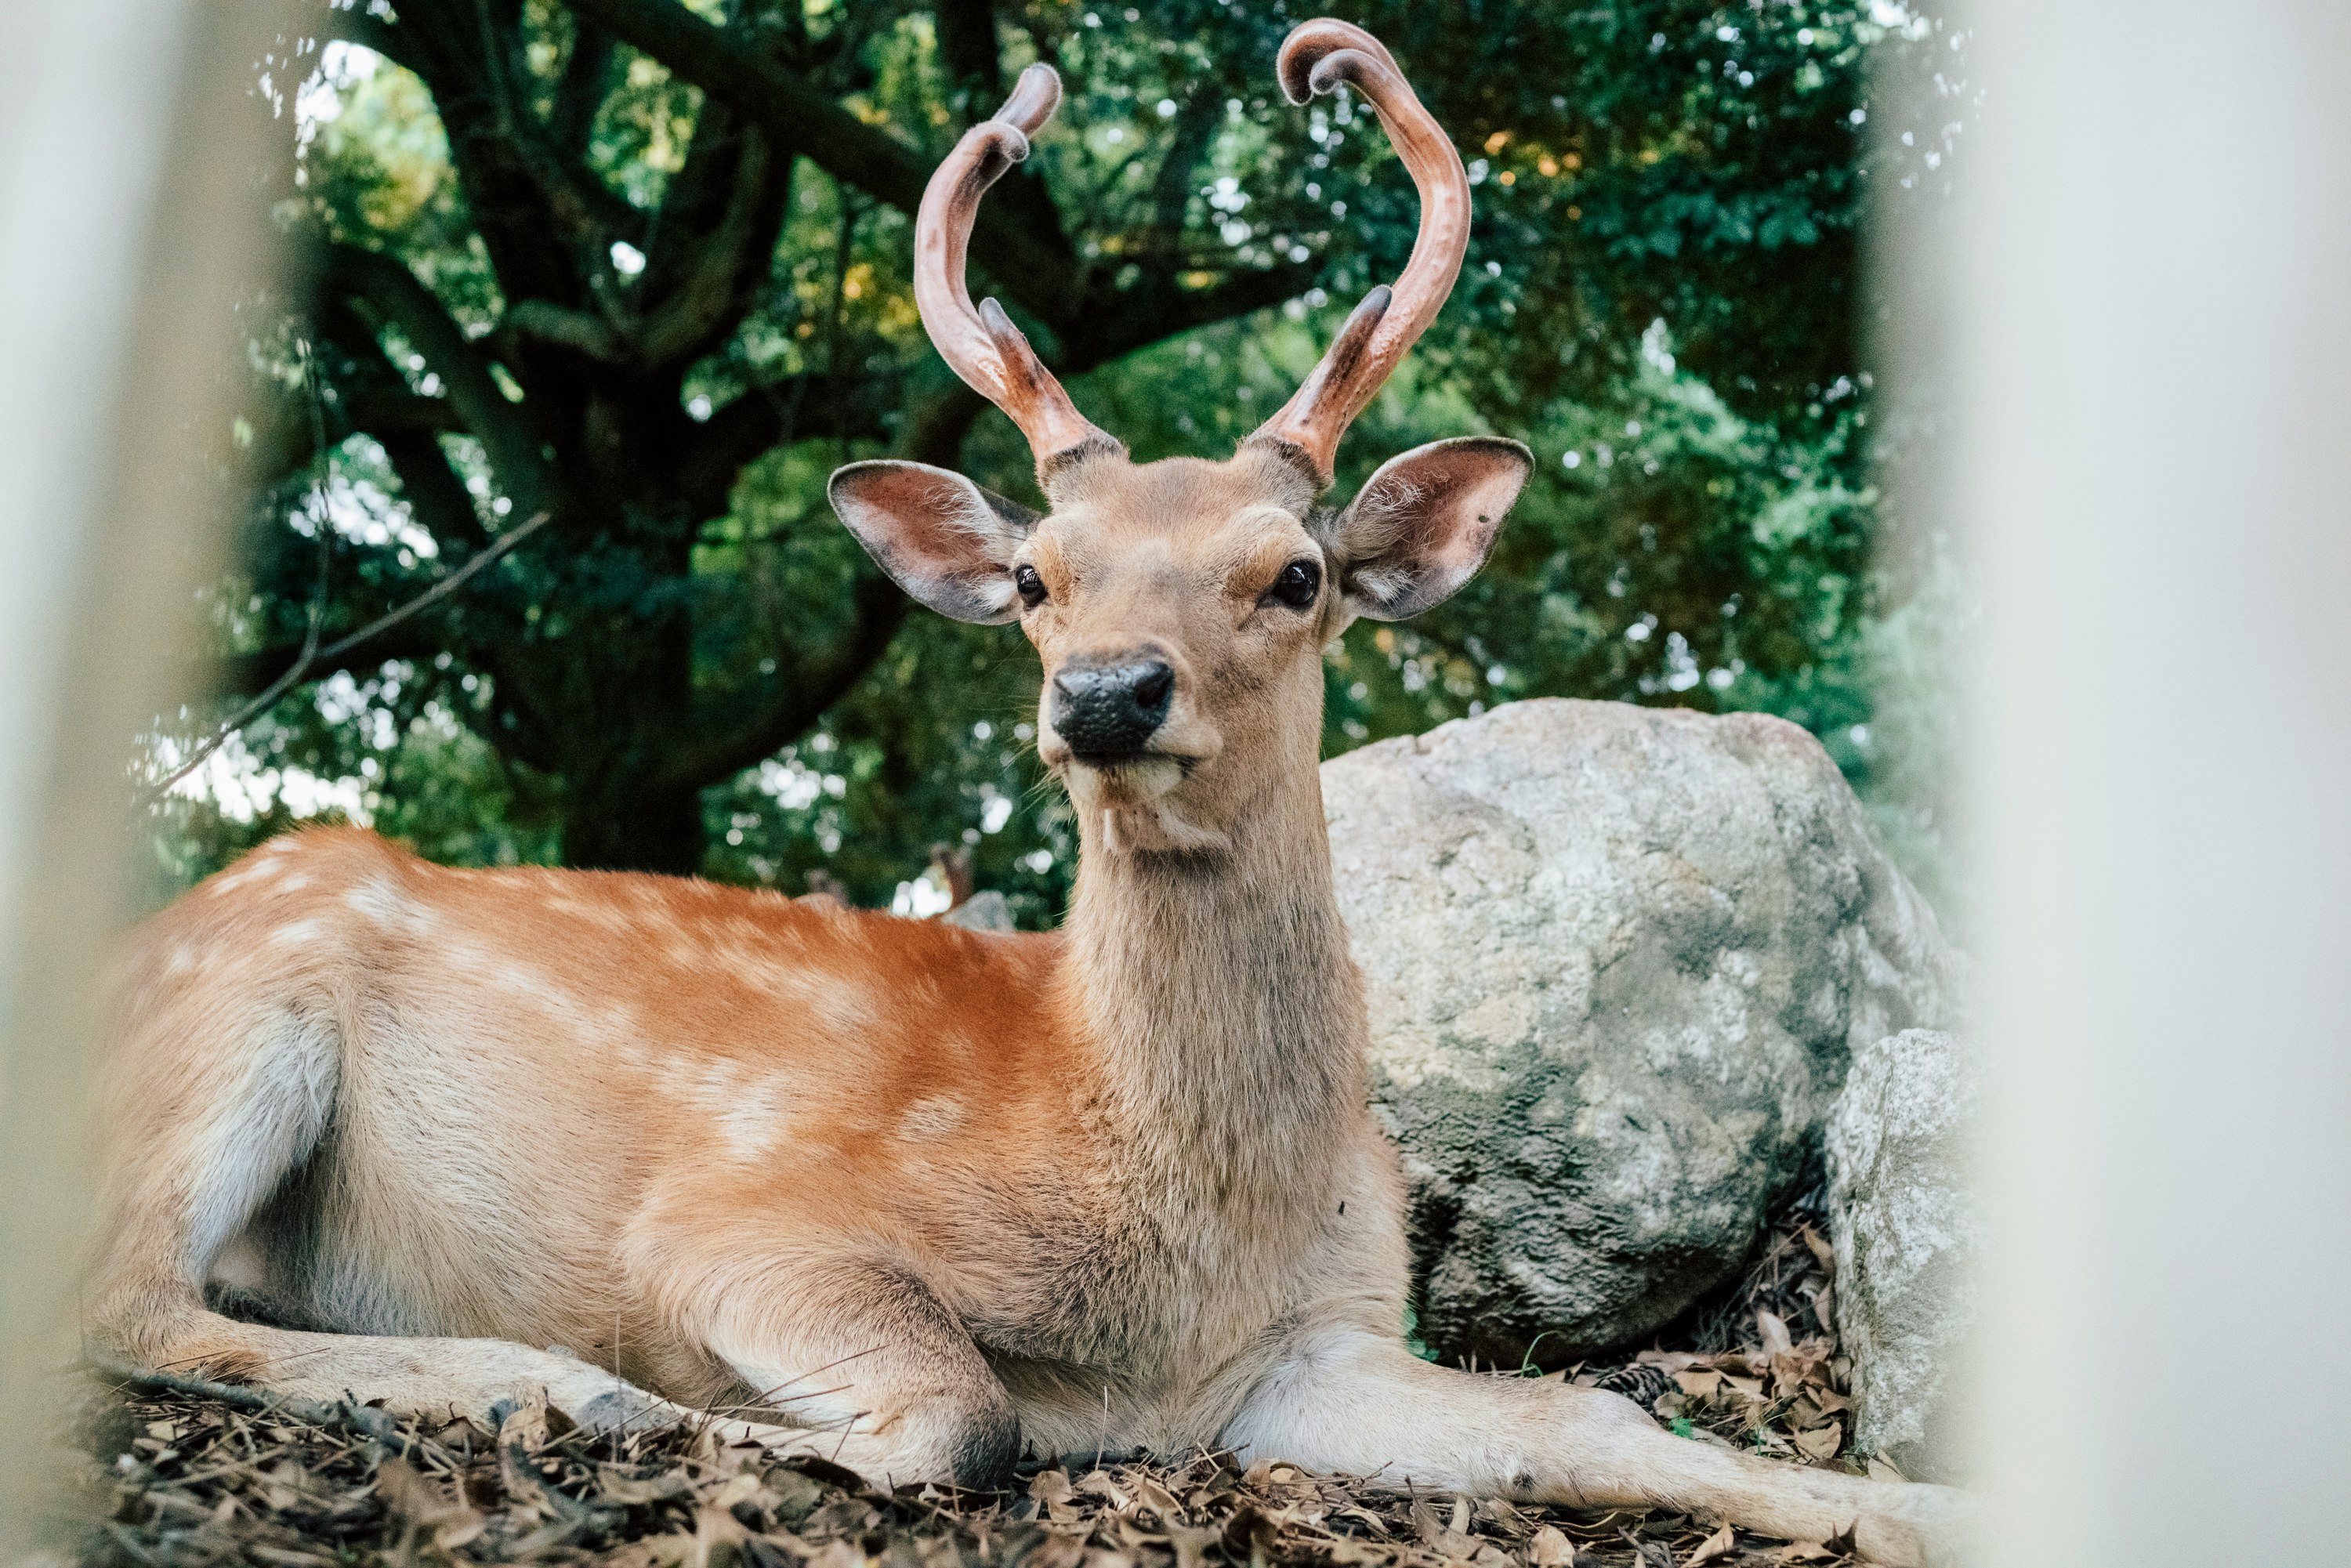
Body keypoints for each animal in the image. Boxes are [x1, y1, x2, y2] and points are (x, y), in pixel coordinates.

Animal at [87, 18, 1965, 1561]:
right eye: (1042, 576)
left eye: (1295, 572)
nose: (1107, 692)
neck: (1175, 1223)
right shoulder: (742, 1222)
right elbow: (958, 1413)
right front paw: (692, 1408)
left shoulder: (1323, 1341)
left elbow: (1597, 1412)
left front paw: (1927, 1504)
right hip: (235, 1009)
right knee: (125, 1299)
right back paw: (544, 1383)